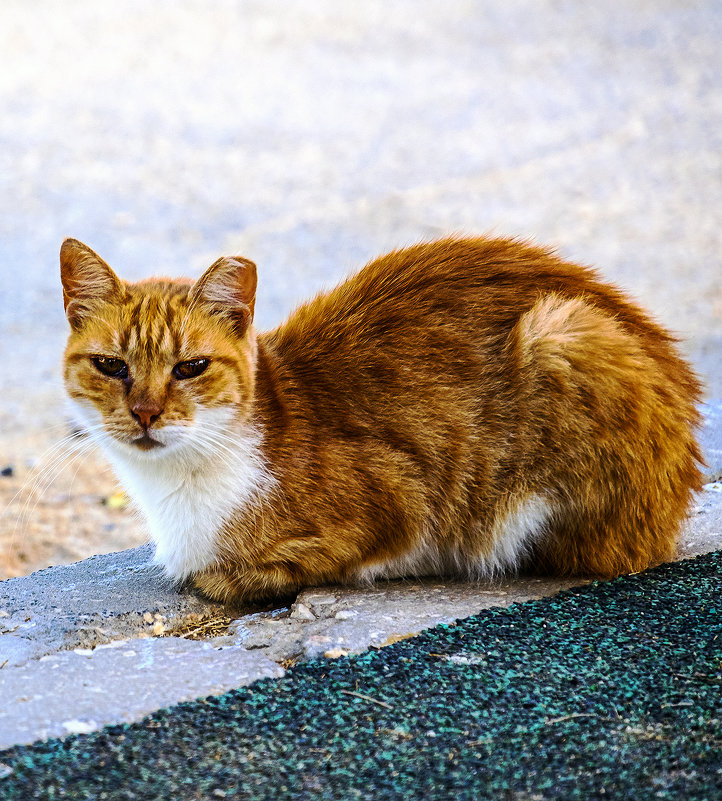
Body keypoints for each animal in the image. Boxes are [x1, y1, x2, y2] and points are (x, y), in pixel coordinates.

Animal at [59, 236, 700, 600]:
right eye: (112, 366)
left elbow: (258, 574)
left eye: (190, 367)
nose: (145, 412)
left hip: (561, 332)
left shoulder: (403, 501)